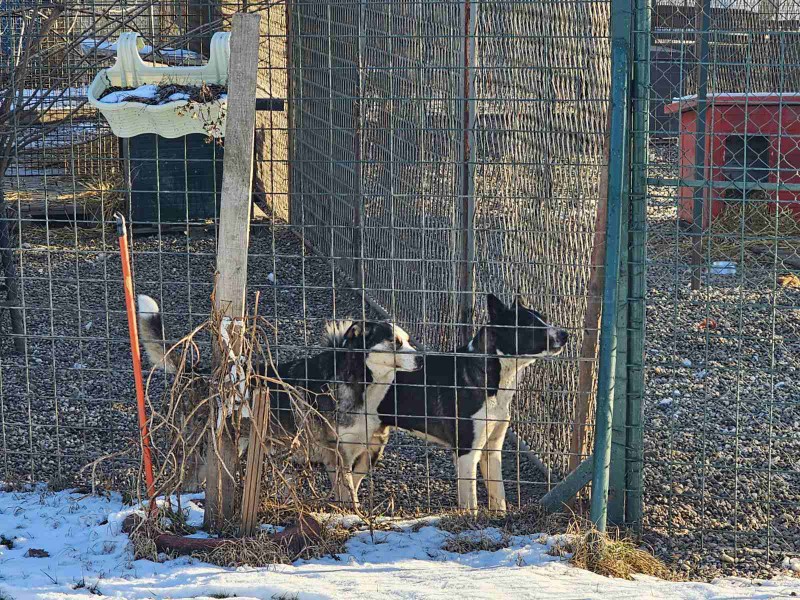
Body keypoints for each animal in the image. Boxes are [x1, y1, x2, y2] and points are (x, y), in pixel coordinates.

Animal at [368, 292, 568, 512]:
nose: (565, 334)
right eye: (530, 324)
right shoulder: (467, 453)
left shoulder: (492, 451)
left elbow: (499, 496)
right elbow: (471, 504)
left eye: (544, 318)